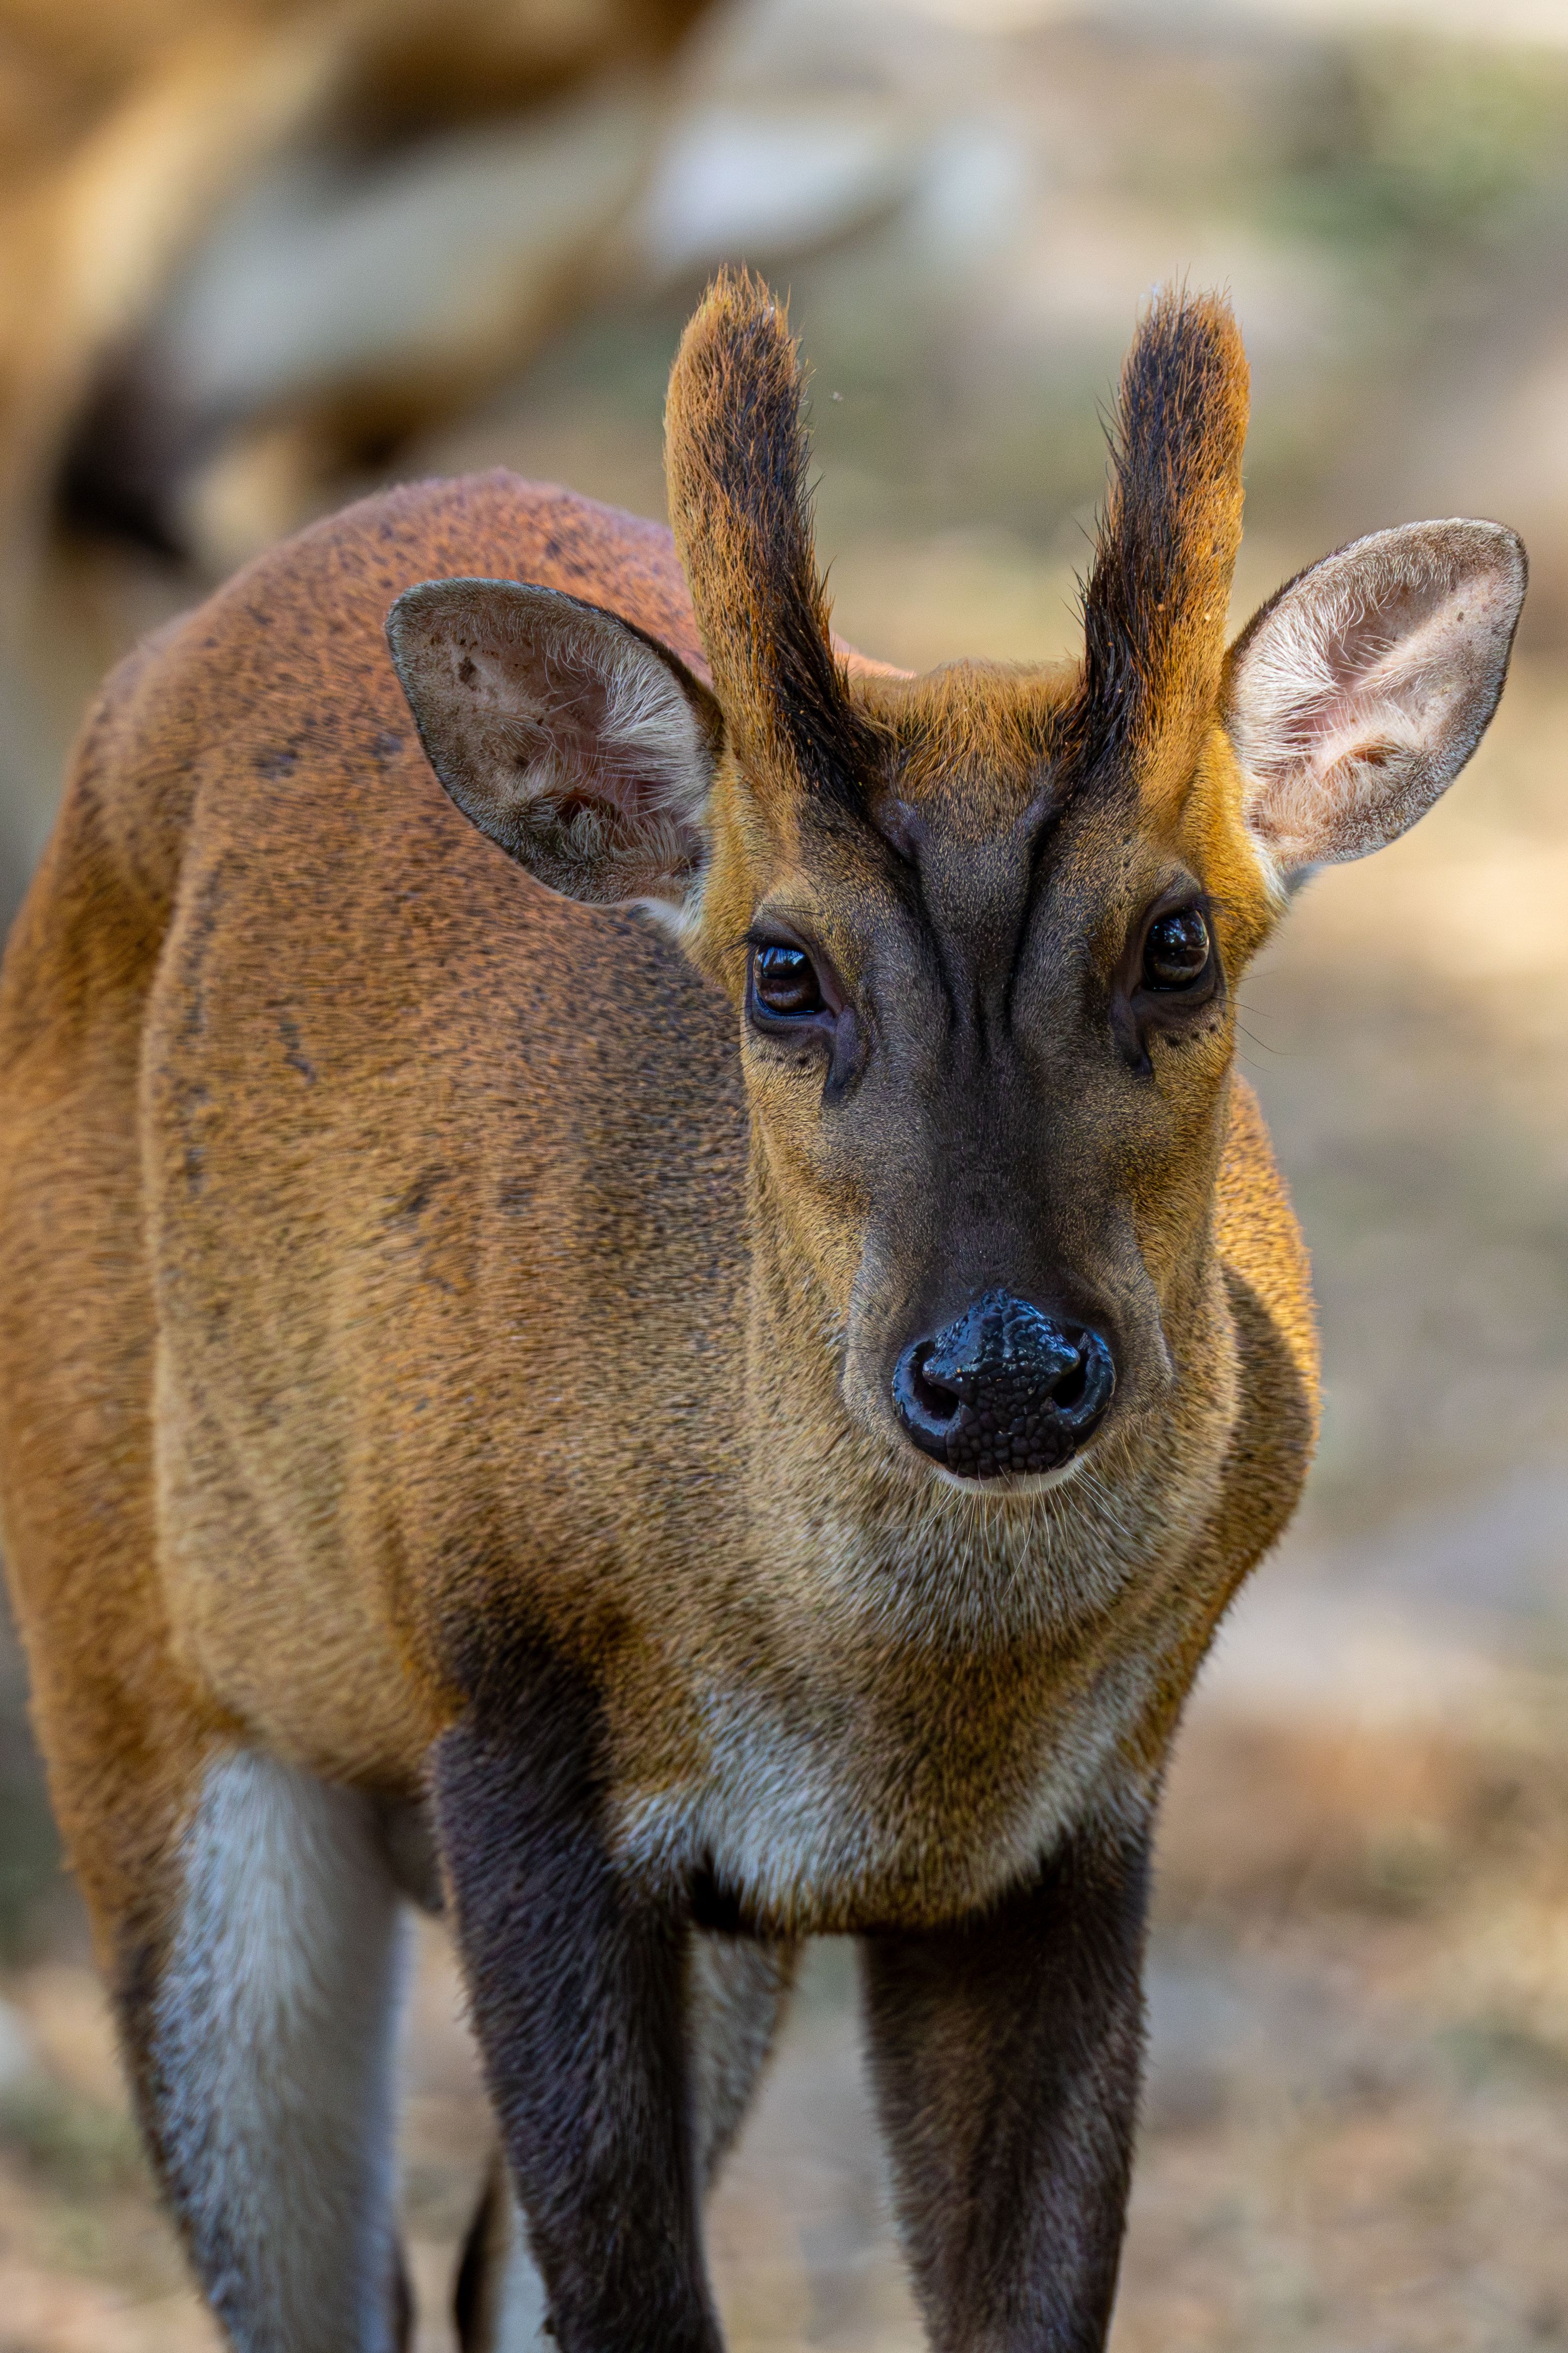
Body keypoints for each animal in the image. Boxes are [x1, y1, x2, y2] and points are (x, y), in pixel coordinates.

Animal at [0, 269, 1524, 2353]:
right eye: (783, 968)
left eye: (1178, 937)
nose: (1000, 1367)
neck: (896, 1720)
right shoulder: (509, 1723)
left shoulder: (1085, 1814)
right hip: (147, 1689)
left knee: (472, 2284)